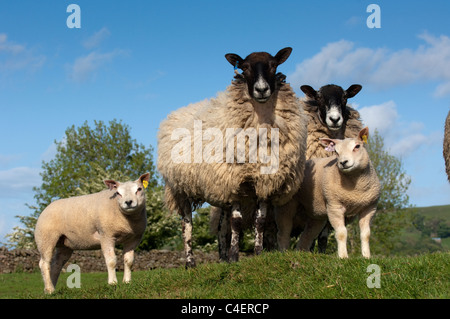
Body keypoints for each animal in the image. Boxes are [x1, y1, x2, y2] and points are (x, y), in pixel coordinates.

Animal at [156, 48, 308, 268]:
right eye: (244, 67)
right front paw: (236, 257)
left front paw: (257, 254)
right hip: (181, 187)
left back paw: (222, 259)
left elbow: (259, 222)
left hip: (218, 189)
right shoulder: (235, 179)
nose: (261, 89)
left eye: (274, 65)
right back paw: (190, 262)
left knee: (221, 228)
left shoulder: (263, 182)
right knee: (187, 224)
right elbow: (236, 222)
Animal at [276, 126, 378, 258]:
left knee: (307, 234)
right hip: (287, 204)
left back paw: (301, 253)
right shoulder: (334, 206)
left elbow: (366, 234)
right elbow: (341, 233)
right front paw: (343, 257)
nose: (343, 162)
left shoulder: (369, 208)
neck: (356, 189)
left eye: (357, 146)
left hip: (316, 213)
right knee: (284, 229)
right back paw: (283, 252)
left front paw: (366, 257)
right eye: (336, 152)